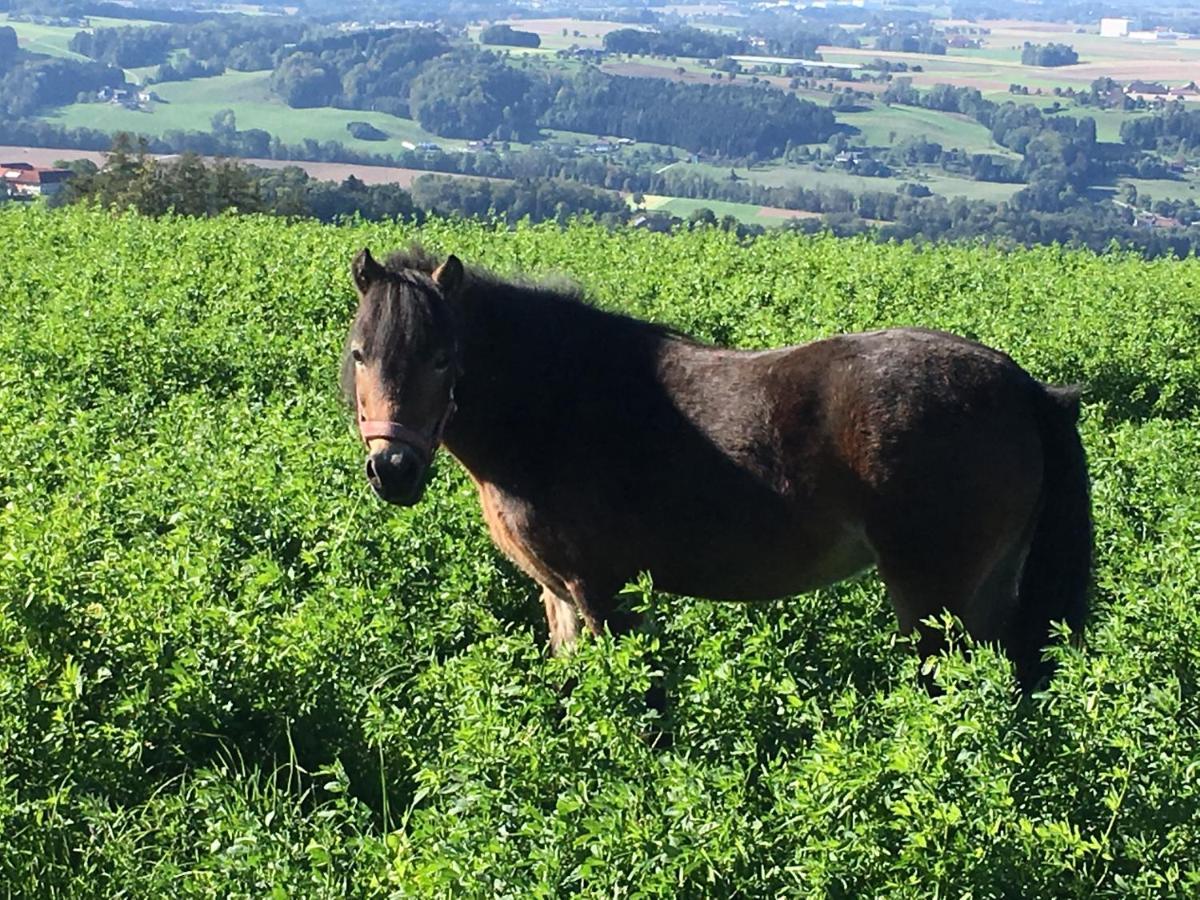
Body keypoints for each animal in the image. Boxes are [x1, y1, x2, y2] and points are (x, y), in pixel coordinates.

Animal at [338, 247, 1089, 691]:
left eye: (443, 356)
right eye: (359, 353)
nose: (393, 469)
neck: (559, 404)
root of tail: (1022, 386)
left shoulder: (601, 590)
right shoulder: (562, 597)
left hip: (934, 598)